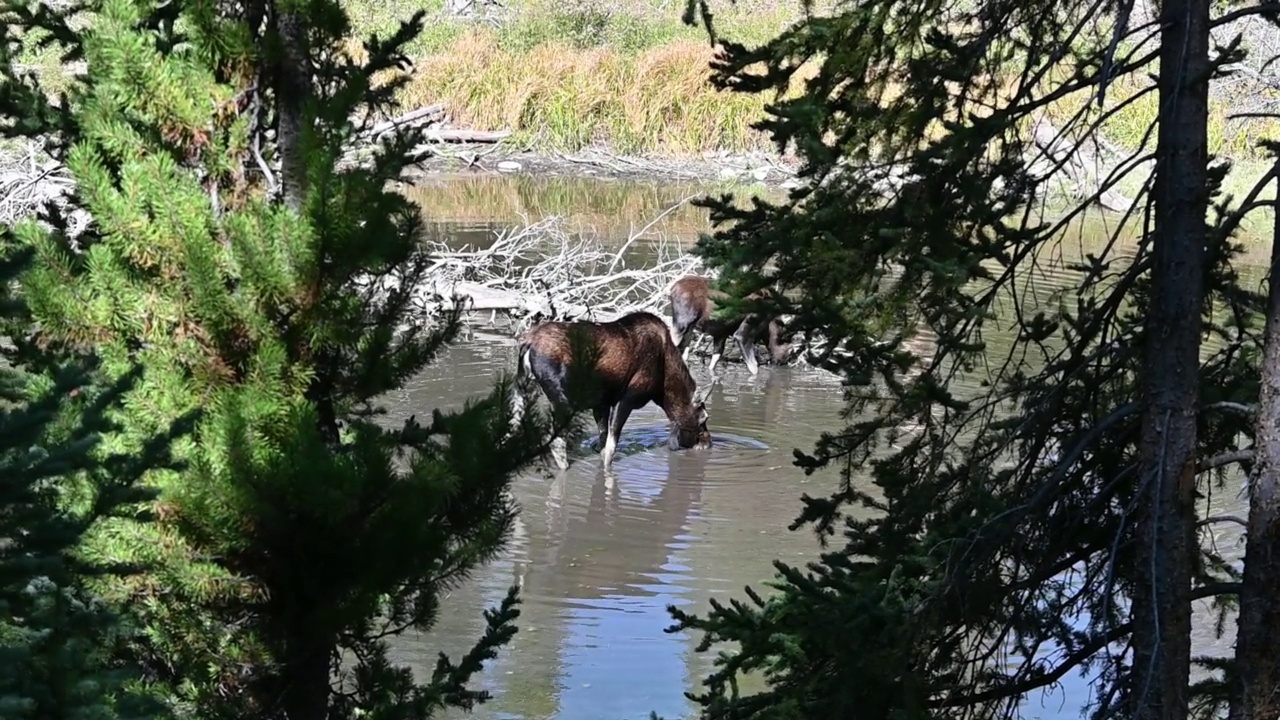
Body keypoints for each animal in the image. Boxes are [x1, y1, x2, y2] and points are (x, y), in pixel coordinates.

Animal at [512, 310, 711, 468]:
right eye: (704, 418)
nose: (708, 443)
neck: (663, 388)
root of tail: (527, 344)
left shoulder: (601, 404)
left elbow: (602, 440)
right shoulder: (626, 398)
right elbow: (610, 449)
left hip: (522, 390)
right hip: (563, 402)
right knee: (554, 441)